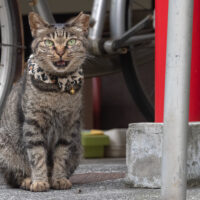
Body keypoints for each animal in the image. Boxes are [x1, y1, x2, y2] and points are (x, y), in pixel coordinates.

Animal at [0, 11, 89, 192]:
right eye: (49, 42)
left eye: (71, 41)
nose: (60, 51)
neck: (57, 89)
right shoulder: (33, 124)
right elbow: (37, 156)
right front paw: (40, 181)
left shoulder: (68, 127)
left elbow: (61, 156)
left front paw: (59, 179)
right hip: (6, 150)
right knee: (13, 177)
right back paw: (28, 180)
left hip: (77, 150)